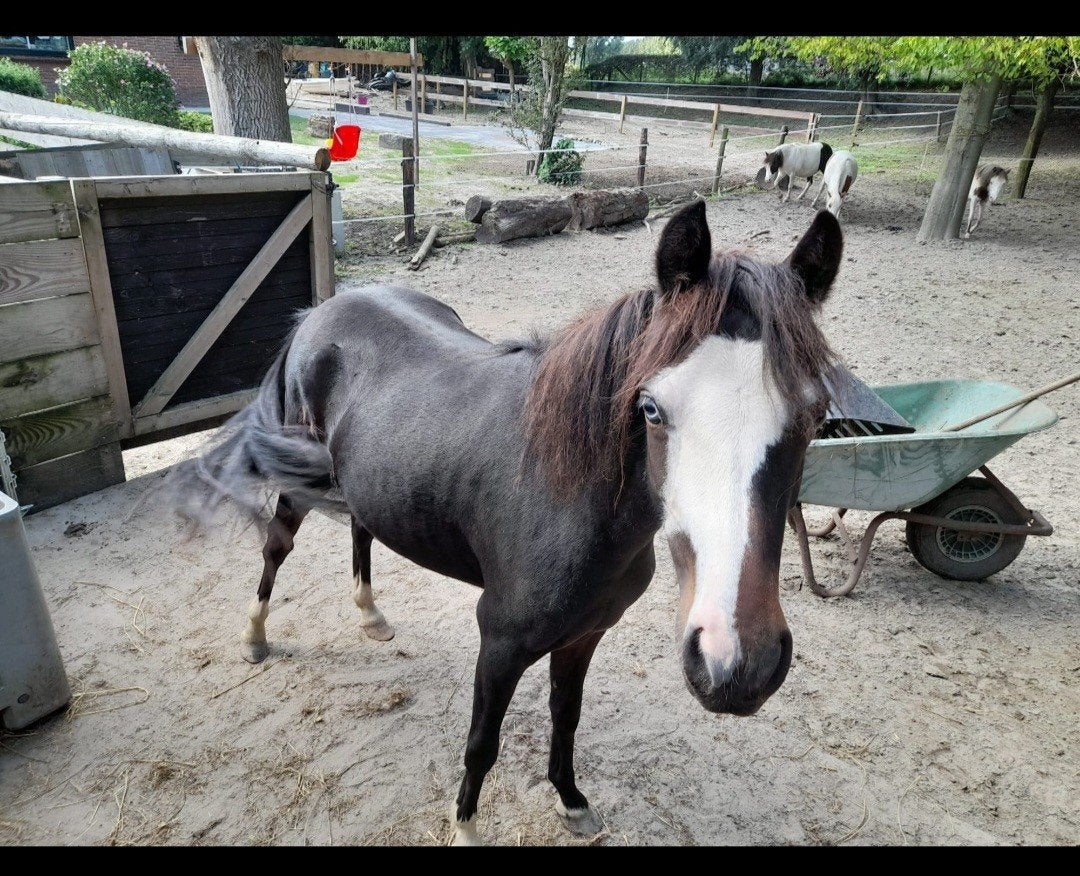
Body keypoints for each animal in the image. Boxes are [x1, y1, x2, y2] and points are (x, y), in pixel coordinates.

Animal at [171, 202, 844, 845]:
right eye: (652, 408)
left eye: (815, 416)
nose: (738, 665)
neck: (570, 500)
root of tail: (319, 312)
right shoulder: (499, 641)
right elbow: (482, 742)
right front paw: (466, 828)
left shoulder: (584, 635)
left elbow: (565, 717)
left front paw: (571, 802)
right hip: (297, 482)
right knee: (275, 548)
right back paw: (255, 636)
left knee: (361, 528)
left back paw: (371, 616)